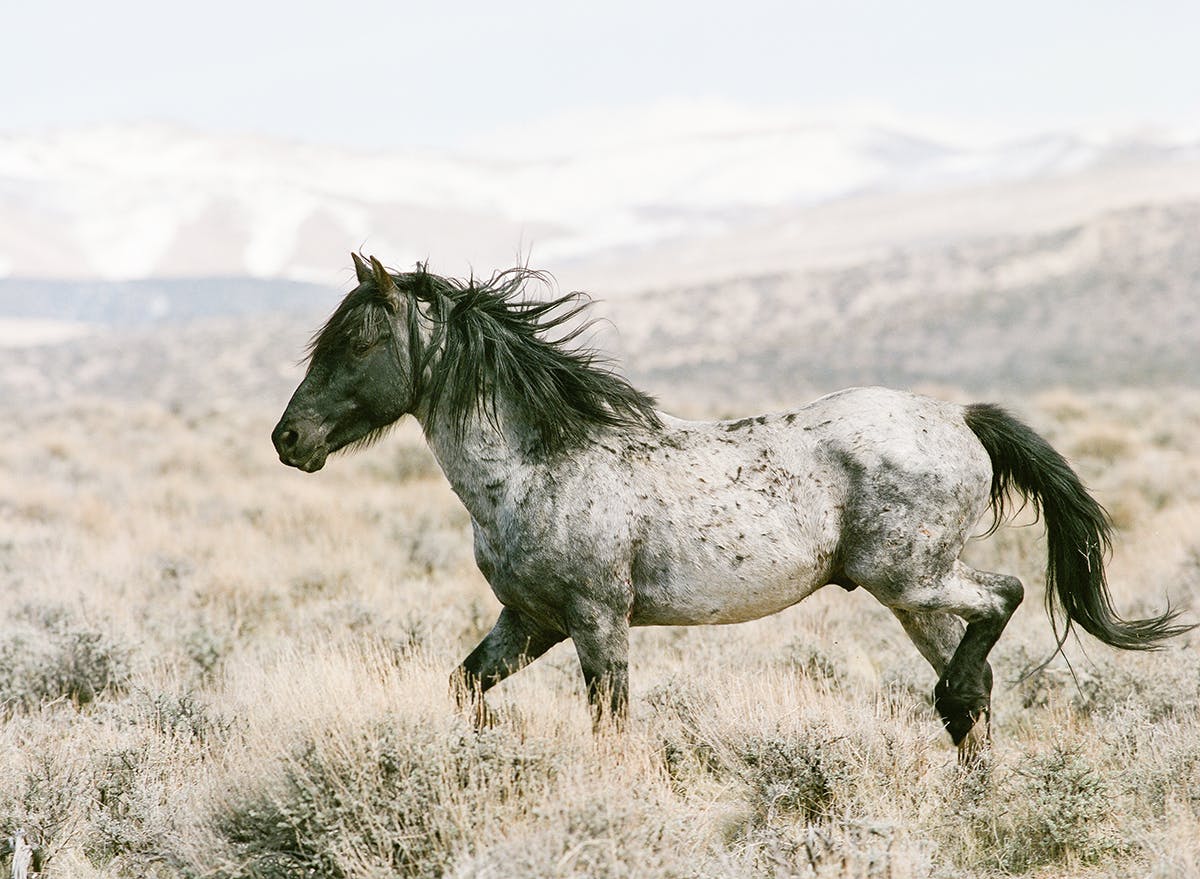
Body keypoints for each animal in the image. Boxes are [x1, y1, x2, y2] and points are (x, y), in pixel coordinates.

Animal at [270, 252, 1190, 754]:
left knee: (1005, 599)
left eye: (359, 339)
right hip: (915, 597)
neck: (534, 467)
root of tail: (960, 417)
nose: (289, 438)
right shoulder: (528, 621)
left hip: (915, 577)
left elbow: (611, 726)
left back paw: (954, 705)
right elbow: (464, 689)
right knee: (982, 683)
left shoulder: (595, 620)